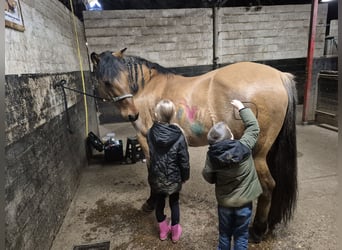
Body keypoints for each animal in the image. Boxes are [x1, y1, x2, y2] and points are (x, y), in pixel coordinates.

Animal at [91, 48, 296, 242]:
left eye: (124, 77)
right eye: (107, 82)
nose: (133, 114)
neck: (146, 87)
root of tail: (280, 76)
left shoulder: (145, 140)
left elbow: (151, 174)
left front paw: (150, 202)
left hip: (257, 154)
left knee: (268, 186)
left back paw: (258, 230)